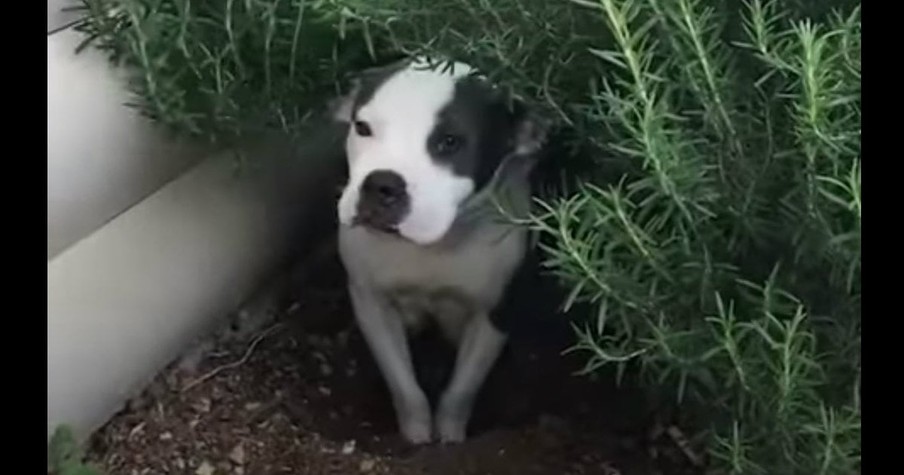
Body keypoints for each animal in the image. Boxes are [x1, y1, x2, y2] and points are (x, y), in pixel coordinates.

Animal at [330, 57, 544, 444]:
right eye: (363, 128)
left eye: (450, 142)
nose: (381, 183)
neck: (437, 245)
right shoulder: (372, 303)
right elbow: (404, 385)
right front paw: (416, 437)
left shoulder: (492, 315)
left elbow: (461, 390)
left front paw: (449, 438)